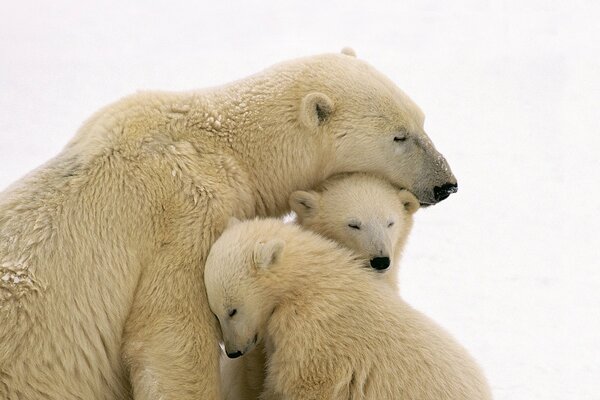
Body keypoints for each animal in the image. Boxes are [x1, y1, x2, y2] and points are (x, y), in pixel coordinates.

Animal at [204, 219, 490, 400]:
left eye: (232, 310)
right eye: (215, 312)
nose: (233, 351)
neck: (306, 282)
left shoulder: (315, 334)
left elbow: (302, 385)